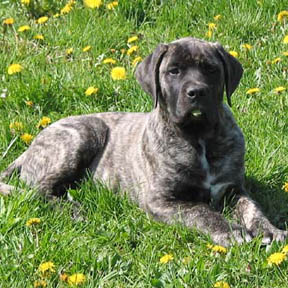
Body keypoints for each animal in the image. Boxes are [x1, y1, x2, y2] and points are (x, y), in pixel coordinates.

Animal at [1, 37, 286, 246]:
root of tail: (30, 147)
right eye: (174, 71)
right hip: (85, 133)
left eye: (211, 70)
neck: (199, 136)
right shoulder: (162, 200)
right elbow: (201, 212)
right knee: (36, 191)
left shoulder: (233, 189)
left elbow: (253, 209)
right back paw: (71, 208)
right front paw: (230, 231)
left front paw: (270, 230)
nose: (197, 92)